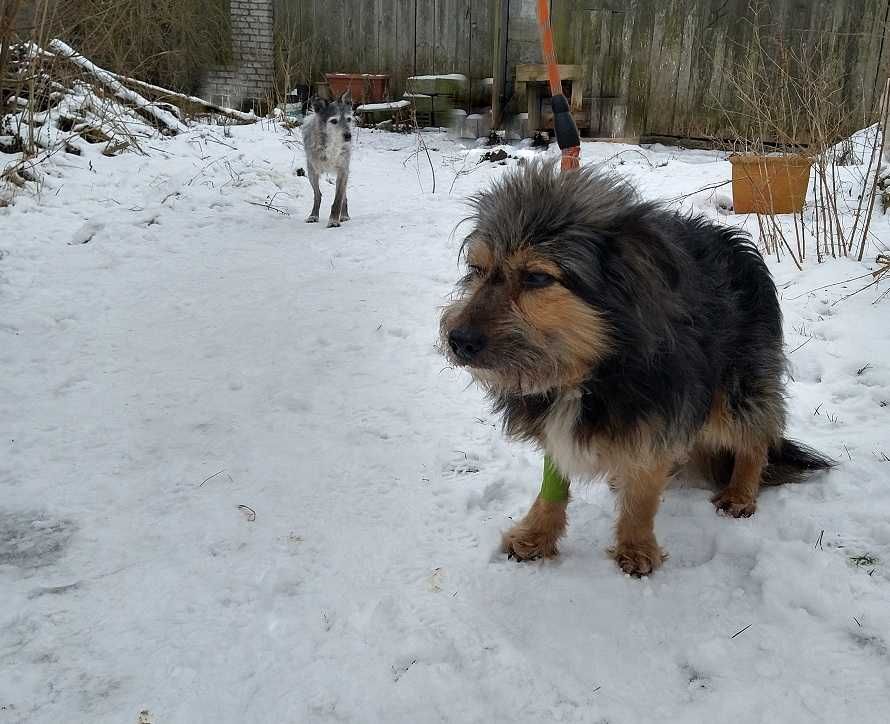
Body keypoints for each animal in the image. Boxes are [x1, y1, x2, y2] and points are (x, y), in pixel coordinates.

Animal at [300, 90, 352, 226]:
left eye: (349, 119)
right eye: (334, 121)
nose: (348, 136)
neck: (332, 144)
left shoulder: (343, 170)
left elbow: (338, 198)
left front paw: (334, 220)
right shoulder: (312, 172)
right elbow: (317, 195)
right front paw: (313, 215)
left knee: (344, 196)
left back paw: (344, 215)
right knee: (318, 195)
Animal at [440, 163, 828, 576]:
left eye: (537, 277)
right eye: (477, 269)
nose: (458, 341)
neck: (591, 365)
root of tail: (737, 244)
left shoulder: (661, 410)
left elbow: (642, 494)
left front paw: (636, 547)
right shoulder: (557, 417)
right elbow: (554, 484)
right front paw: (537, 535)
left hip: (734, 389)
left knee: (756, 436)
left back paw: (740, 492)